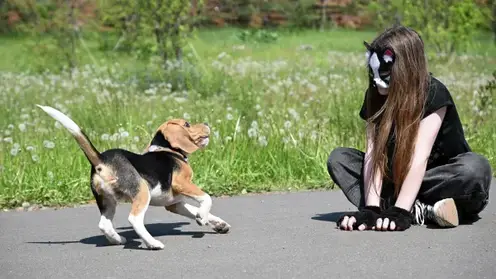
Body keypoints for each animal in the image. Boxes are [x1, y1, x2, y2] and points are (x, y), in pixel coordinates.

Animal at [36, 105, 231, 252]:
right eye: (187, 124)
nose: (206, 123)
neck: (167, 149)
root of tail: (101, 159)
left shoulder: (174, 203)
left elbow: (196, 209)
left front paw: (217, 223)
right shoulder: (182, 183)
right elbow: (206, 198)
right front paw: (202, 218)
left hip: (107, 200)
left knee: (104, 224)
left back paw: (117, 240)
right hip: (142, 192)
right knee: (134, 219)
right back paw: (153, 243)